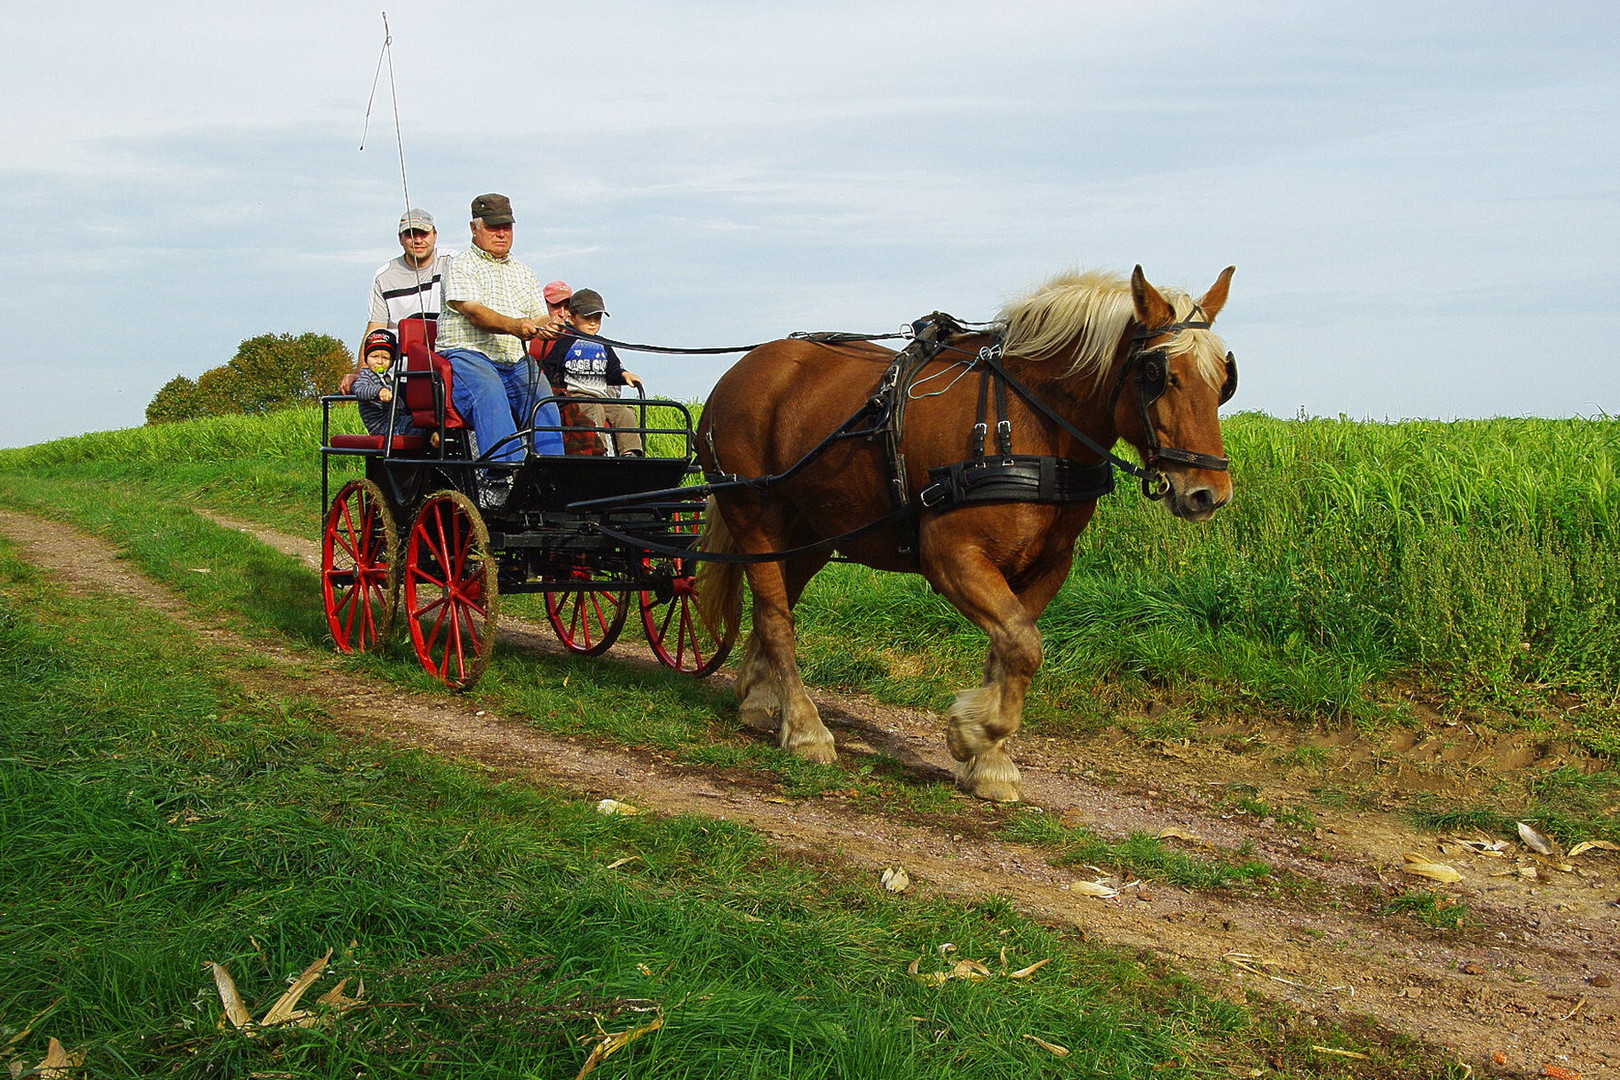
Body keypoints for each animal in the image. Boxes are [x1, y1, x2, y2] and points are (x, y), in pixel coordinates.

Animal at [690, 265, 1231, 799]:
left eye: (1225, 379)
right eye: (1159, 375)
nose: (1210, 493)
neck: (1030, 424)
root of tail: (741, 371)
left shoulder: (1048, 565)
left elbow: (1010, 650)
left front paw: (989, 760)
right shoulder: (951, 555)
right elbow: (1024, 645)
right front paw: (972, 734)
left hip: (812, 531)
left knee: (774, 605)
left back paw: (760, 701)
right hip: (753, 515)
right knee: (776, 617)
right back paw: (805, 728)